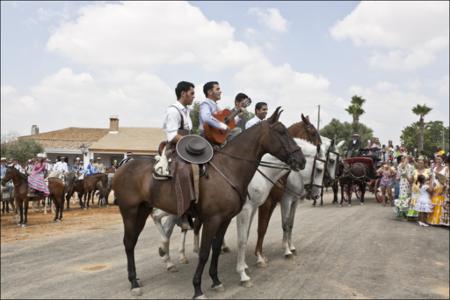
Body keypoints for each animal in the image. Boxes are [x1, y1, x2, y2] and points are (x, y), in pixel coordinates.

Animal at [113, 109, 306, 298]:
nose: (301, 160)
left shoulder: (225, 219)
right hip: (129, 211)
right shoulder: (213, 220)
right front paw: (198, 289)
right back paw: (134, 282)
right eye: (281, 132)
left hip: (142, 210)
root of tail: (124, 165)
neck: (229, 169)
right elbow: (205, 253)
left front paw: (216, 280)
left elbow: (216, 248)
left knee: (135, 240)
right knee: (129, 242)